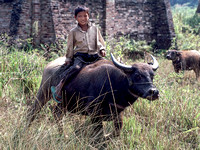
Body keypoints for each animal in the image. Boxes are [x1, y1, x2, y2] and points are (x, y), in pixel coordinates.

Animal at [26, 53, 159, 139]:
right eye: (137, 75)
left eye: (152, 75)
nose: (154, 92)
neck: (115, 83)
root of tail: (49, 65)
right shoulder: (94, 113)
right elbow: (99, 132)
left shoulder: (118, 112)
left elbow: (117, 130)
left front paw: (107, 137)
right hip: (43, 91)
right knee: (34, 111)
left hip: (64, 102)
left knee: (57, 114)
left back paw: (63, 135)